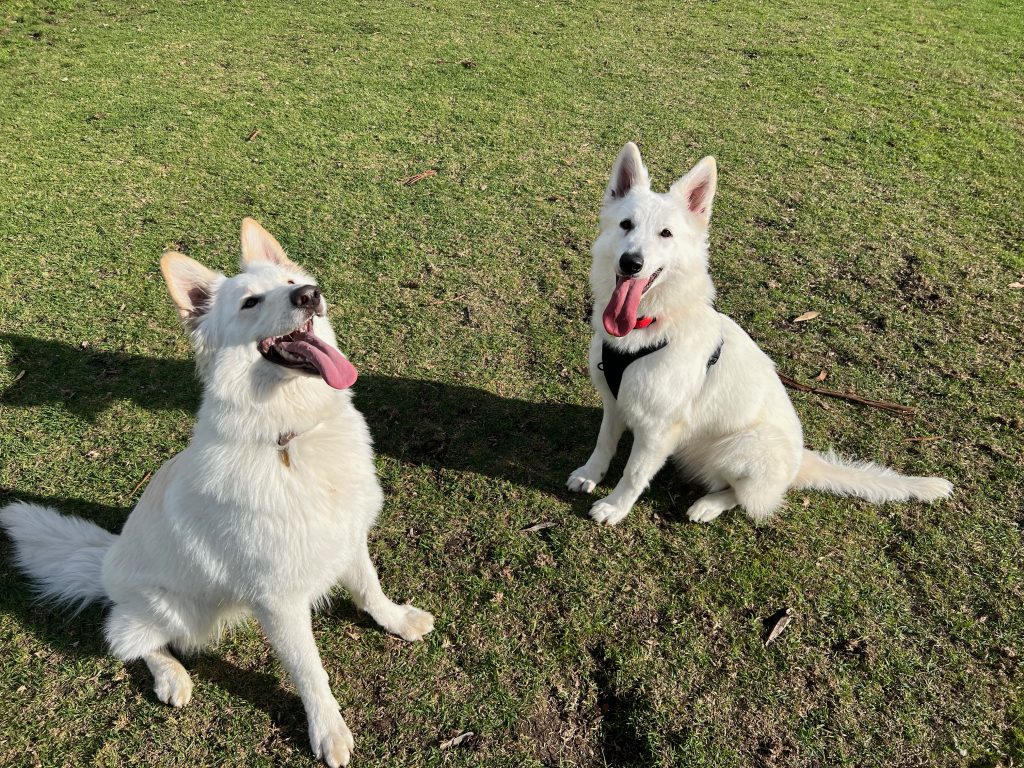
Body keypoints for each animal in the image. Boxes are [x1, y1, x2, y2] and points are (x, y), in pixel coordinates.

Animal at [1, 218, 432, 768]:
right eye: (250, 302)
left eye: (293, 280)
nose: (310, 294)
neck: (288, 437)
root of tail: (105, 561)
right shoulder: (278, 600)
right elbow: (310, 671)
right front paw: (328, 729)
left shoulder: (348, 536)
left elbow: (370, 590)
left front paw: (397, 620)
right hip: (175, 611)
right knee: (127, 638)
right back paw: (172, 677)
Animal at [569, 143, 950, 528]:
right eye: (626, 225)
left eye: (665, 234)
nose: (631, 263)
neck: (652, 323)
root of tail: (799, 462)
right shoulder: (614, 402)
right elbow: (603, 444)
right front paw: (590, 474)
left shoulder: (658, 430)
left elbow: (634, 474)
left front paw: (616, 506)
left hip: (741, 447)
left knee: (746, 497)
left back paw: (709, 504)